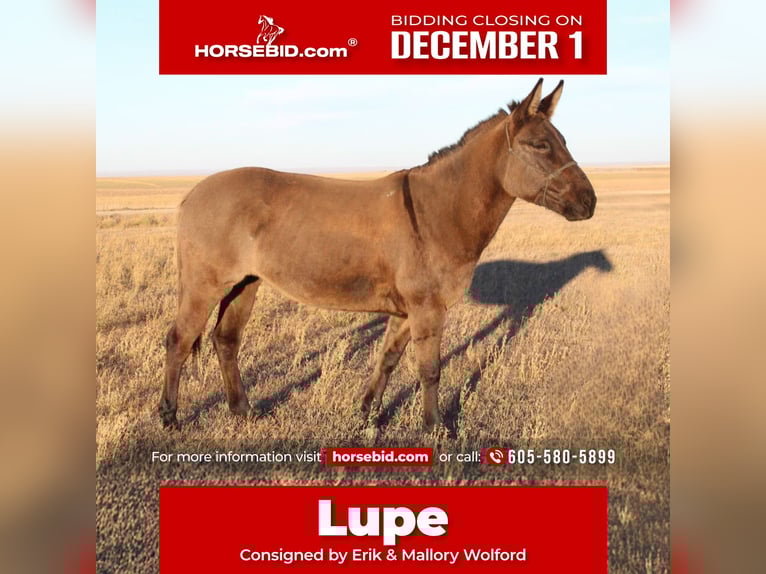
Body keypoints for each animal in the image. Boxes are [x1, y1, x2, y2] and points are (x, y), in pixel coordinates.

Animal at [159, 79, 597, 431]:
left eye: (564, 142)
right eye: (540, 145)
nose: (589, 202)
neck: (437, 212)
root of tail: (193, 192)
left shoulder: (406, 311)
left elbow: (387, 359)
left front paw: (367, 413)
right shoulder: (428, 309)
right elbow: (430, 370)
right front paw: (435, 428)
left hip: (245, 284)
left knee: (225, 340)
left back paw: (243, 411)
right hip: (205, 284)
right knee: (179, 340)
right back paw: (170, 417)